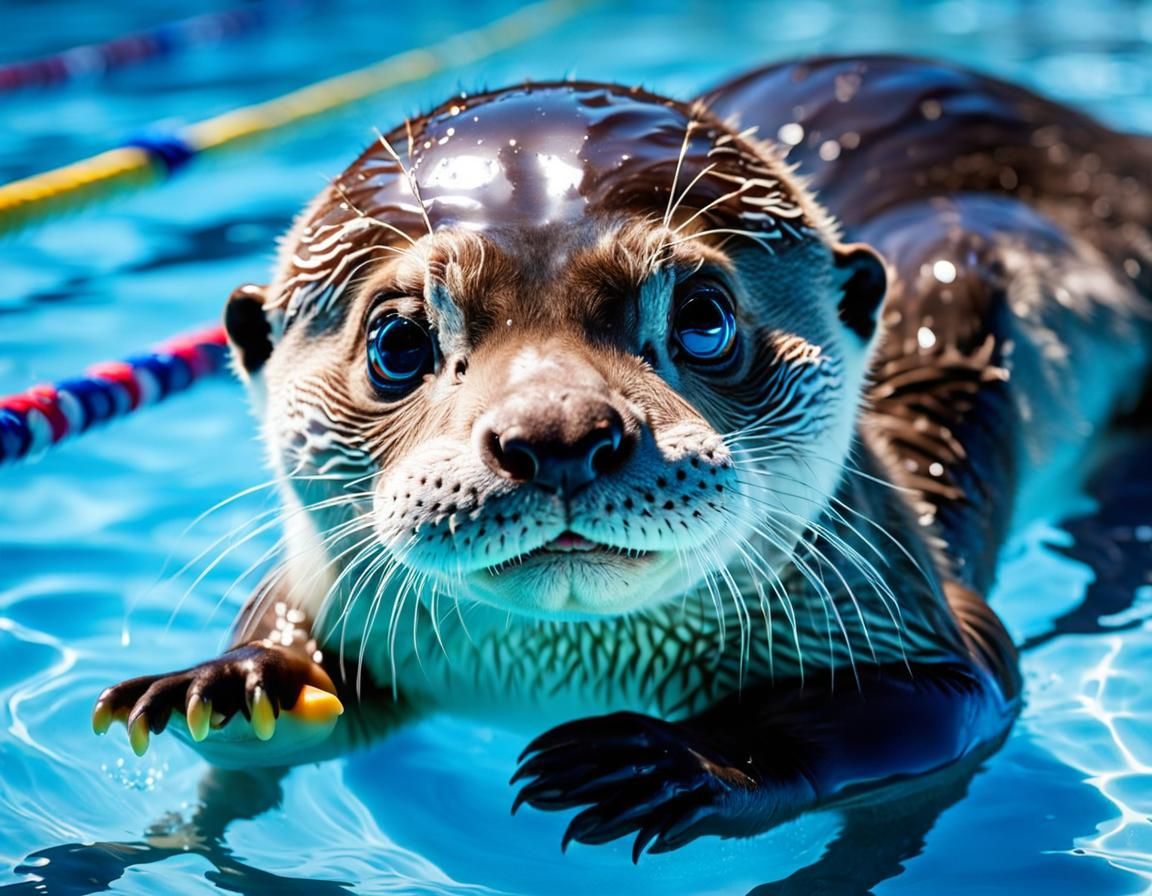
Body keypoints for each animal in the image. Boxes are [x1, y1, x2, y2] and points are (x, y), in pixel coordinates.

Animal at [93, 55, 1152, 858]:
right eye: (397, 341)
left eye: (703, 318)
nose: (559, 433)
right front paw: (237, 679)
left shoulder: (927, 619)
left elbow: (944, 703)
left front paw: (677, 763)